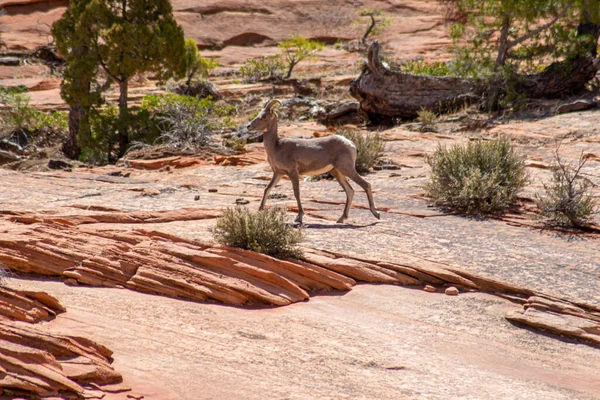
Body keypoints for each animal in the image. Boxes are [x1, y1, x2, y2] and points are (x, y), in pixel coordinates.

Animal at [244, 99, 380, 225]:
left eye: (264, 117)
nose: (248, 126)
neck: (276, 146)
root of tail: (351, 144)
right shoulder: (278, 173)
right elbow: (267, 189)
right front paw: (260, 210)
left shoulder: (293, 173)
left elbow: (296, 193)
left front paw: (299, 217)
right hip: (337, 172)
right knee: (350, 191)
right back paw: (341, 219)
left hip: (346, 169)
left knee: (366, 185)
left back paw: (376, 214)